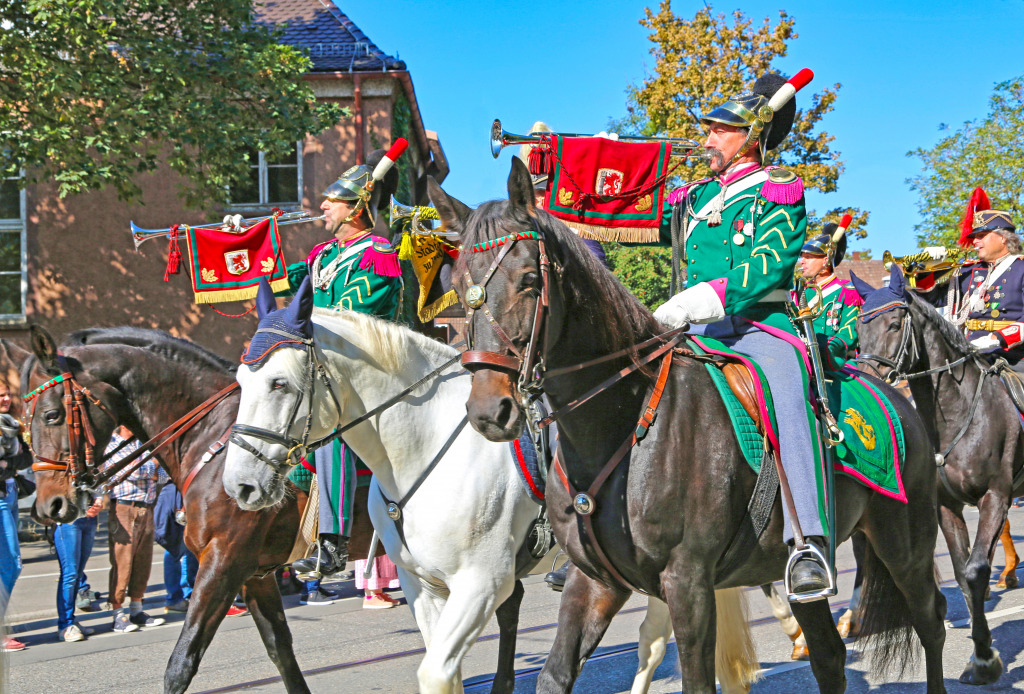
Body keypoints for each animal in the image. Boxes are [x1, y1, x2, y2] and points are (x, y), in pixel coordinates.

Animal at [8, 327, 378, 694]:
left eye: (51, 415)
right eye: (24, 421)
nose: (49, 506)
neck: (212, 441)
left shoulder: (223, 563)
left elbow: (181, 664)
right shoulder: (253, 573)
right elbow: (279, 648)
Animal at [220, 282, 757, 694]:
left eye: (279, 383)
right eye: (240, 380)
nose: (239, 485)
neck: (426, 444)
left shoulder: (483, 581)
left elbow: (439, 671)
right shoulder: (423, 585)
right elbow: (446, 673)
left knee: (653, 638)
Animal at [428, 157, 946, 694]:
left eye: (530, 279)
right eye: (458, 285)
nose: (490, 410)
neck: (624, 424)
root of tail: (895, 394)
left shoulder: (689, 583)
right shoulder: (594, 581)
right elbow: (553, 676)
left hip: (904, 541)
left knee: (931, 620)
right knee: (828, 654)